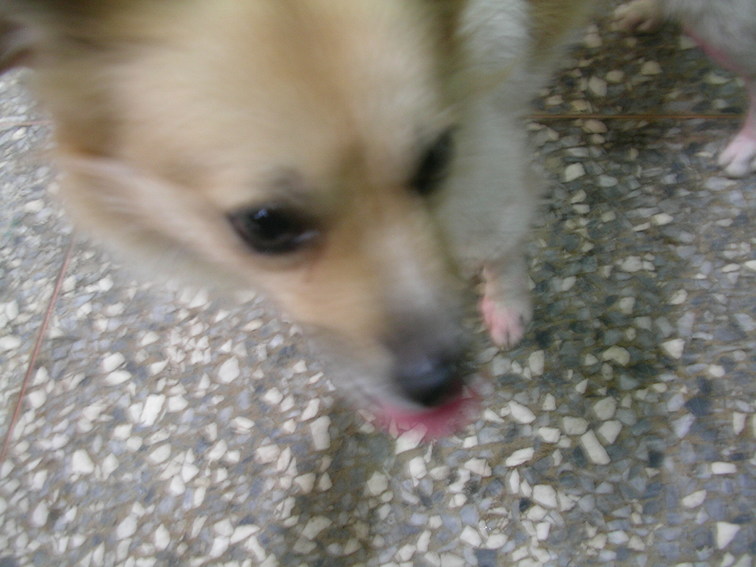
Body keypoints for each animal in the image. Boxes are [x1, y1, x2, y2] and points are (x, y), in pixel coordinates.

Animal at [0, 1, 595, 437]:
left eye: (434, 159)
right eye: (265, 224)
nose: (441, 383)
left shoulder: (487, 169)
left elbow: (503, 244)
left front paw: (508, 304)